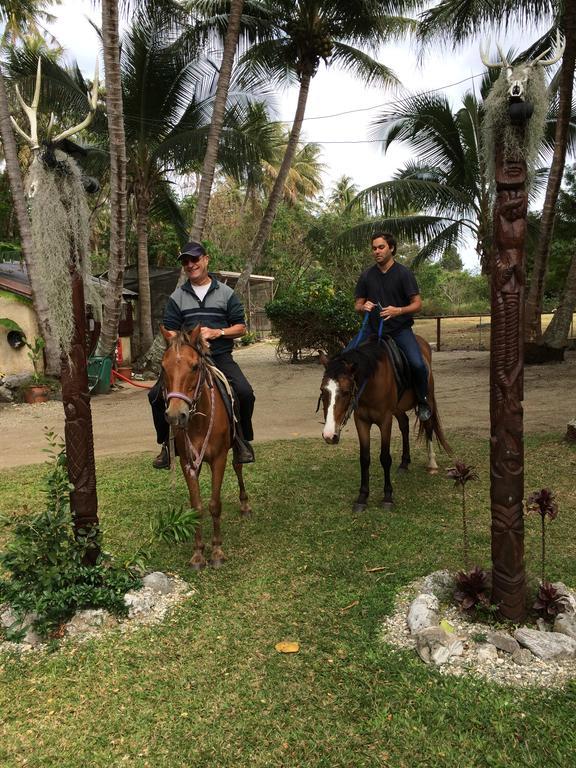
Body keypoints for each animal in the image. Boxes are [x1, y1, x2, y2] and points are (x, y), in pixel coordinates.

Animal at [162, 328, 252, 568]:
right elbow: (197, 507)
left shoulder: (218, 459)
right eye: (163, 367)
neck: (199, 421)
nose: (176, 415)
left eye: (194, 366)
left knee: (238, 466)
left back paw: (244, 504)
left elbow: (214, 504)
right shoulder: (187, 463)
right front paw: (198, 553)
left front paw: (217, 551)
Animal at [320, 334, 450, 510]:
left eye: (346, 392)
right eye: (323, 391)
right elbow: (364, 458)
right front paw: (362, 497)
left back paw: (432, 463)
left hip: (427, 399)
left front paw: (387, 496)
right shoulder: (361, 421)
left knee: (428, 426)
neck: (370, 384)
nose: (329, 435)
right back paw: (404, 463)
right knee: (404, 424)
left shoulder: (385, 421)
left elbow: (385, 457)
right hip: (398, 408)